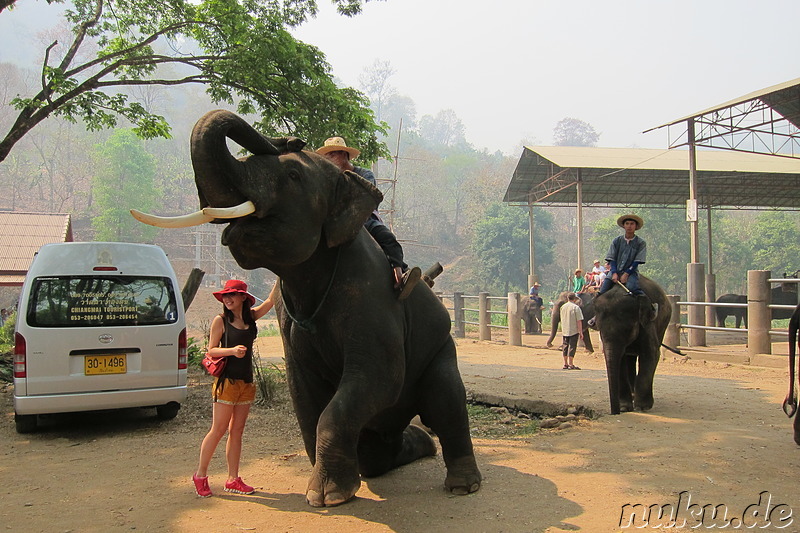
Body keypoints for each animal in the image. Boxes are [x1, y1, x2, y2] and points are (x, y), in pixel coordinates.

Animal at [133, 110, 482, 504]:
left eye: (293, 176)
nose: (291, 139)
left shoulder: (373, 299)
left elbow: (380, 376)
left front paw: (327, 495)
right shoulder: (289, 320)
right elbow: (304, 393)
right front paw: (333, 487)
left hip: (441, 348)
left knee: (446, 405)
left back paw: (462, 484)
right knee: (380, 451)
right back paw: (416, 448)